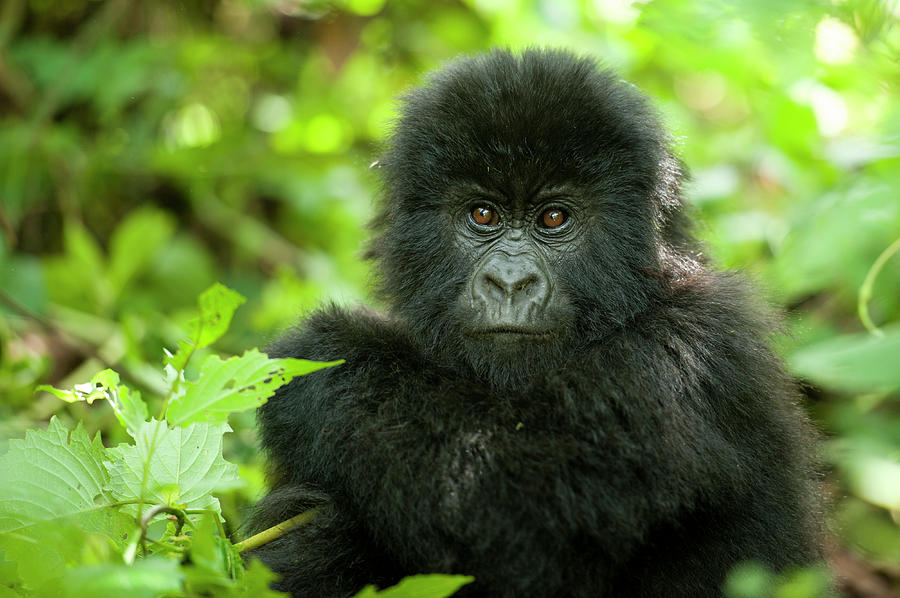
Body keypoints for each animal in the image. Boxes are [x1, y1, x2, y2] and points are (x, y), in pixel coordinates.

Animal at [248, 50, 824, 598]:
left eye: (553, 218)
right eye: (483, 214)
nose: (509, 282)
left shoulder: (685, 358)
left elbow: (509, 513)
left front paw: (324, 363)